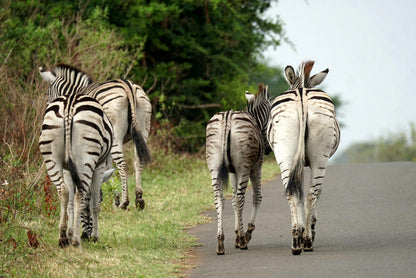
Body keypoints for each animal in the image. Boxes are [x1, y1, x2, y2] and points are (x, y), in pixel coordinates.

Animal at [39, 63, 152, 213]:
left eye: (48, 94)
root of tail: (128, 86)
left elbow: (107, 168)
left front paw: (113, 198)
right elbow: (108, 168)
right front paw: (112, 197)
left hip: (116, 136)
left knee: (122, 165)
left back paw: (125, 202)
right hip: (143, 128)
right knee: (138, 161)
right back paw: (139, 199)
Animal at [39, 92, 113, 247]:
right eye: (103, 198)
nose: (86, 236)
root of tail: (69, 104)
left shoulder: (67, 169)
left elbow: (70, 203)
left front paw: (70, 232)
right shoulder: (99, 166)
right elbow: (95, 203)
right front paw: (95, 236)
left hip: (51, 155)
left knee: (63, 190)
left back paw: (63, 237)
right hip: (87, 156)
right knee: (79, 194)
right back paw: (75, 241)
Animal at [205, 83, 270, 255]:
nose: (268, 149)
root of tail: (227, 117)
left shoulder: (233, 172)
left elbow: (233, 199)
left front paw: (236, 233)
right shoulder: (255, 167)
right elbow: (256, 197)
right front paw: (245, 234)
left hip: (214, 166)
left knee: (219, 199)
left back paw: (220, 242)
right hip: (244, 167)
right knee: (241, 198)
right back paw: (242, 240)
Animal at [268, 60, 340, 254]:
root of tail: (301, 94)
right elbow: (315, 194)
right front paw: (309, 231)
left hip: (286, 153)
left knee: (294, 193)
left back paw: (298, 240)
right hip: (319, 157)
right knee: (311, 194)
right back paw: (305, 241)